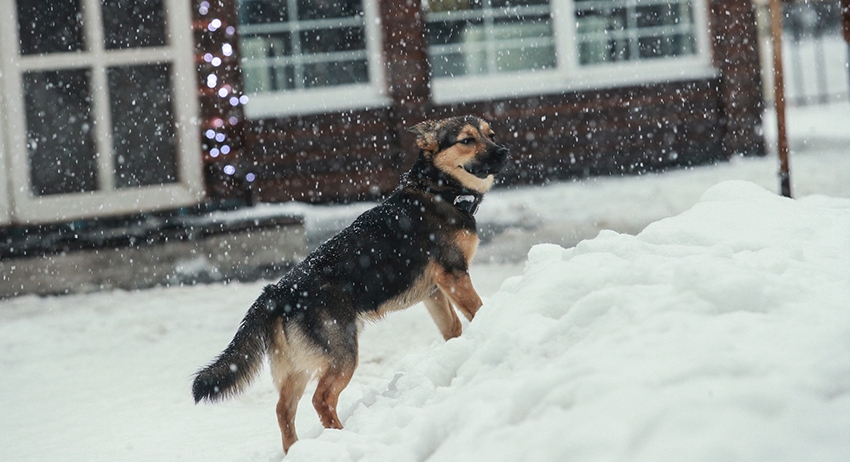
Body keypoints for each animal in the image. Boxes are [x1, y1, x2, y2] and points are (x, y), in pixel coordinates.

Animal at [192, 115, 509, 453]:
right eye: (467, 140)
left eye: (490, 135)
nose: (503, 151)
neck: (438, 191)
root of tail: (276, 292)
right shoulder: (454, 276)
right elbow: (477, 309)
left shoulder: (435, 292)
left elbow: (453, 329)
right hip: (343, 355)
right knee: (321, 400)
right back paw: (344, 439)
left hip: (296, 366)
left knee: (283, 409)